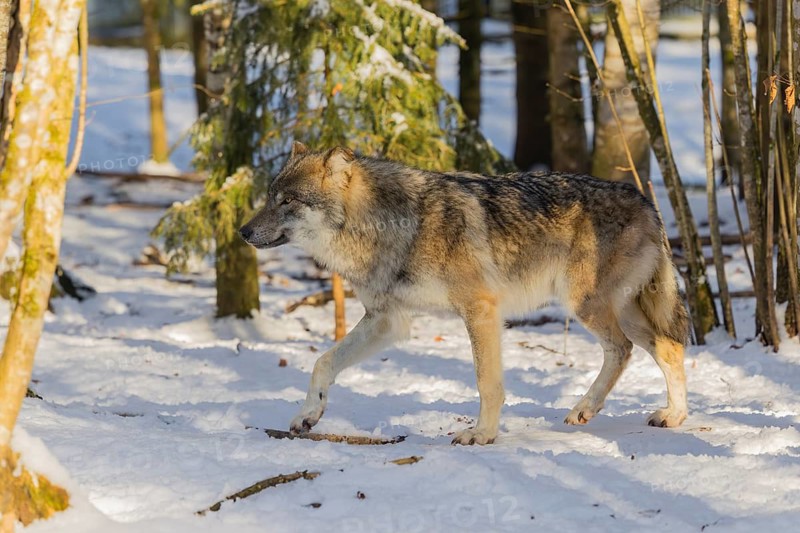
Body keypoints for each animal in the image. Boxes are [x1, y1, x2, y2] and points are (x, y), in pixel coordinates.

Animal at [239, 142, 689, 445]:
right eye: (269, 198)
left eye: (288, 201)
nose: (242, 231)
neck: (391, 226)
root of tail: (646, 201)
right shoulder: (387, 321)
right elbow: (323, 362)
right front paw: (306, 416)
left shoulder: (480, 310)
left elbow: (487, 382)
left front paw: (482, 435)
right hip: (620, 310)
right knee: (666, 347)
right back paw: (670, 416)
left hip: (587, 306)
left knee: (629, 349)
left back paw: (599, 409)